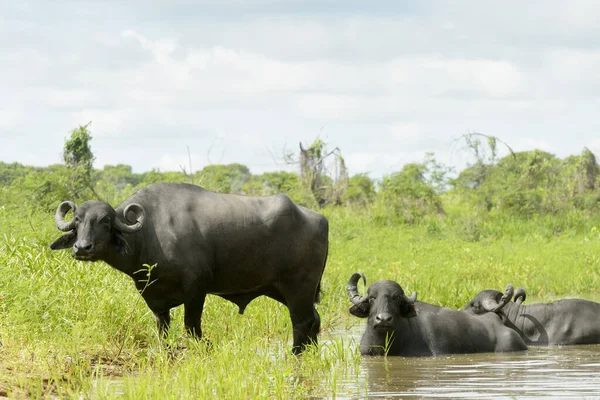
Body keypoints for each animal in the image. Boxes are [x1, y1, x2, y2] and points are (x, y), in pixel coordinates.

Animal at [50, 181, 332, 354]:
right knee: (314, 320)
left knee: (302, 322)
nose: (82, 248)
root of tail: (319, 218)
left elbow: (192, 327)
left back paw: (295, 356)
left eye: (106, 221)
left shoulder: (196, 289)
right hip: (283, 290)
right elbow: (163, 329)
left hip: (298, 288)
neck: (150, 233)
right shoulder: (156, 298)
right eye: (78, 220)